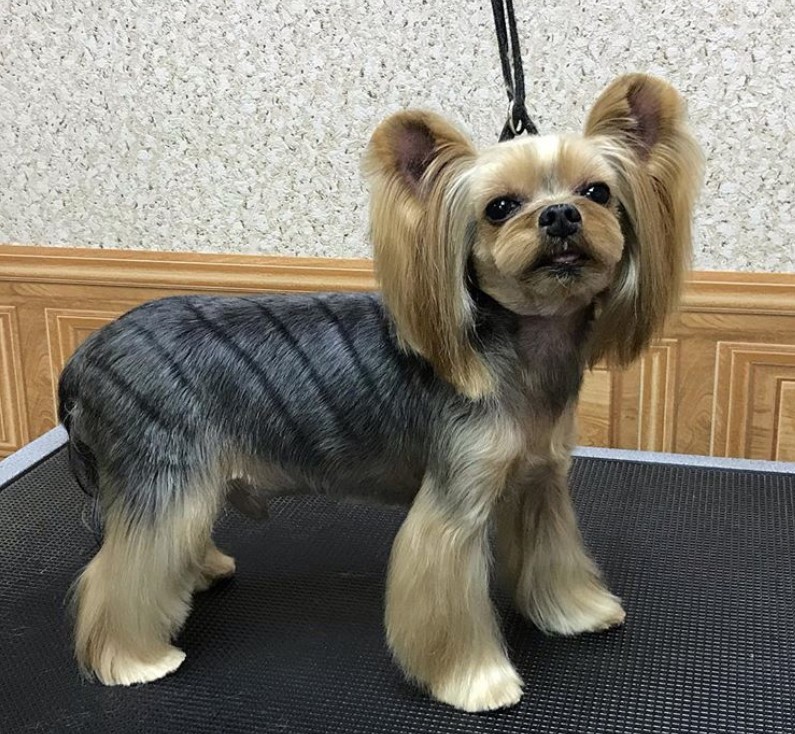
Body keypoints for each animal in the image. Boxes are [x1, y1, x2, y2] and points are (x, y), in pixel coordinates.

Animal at [59, 75, 700, 712]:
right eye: (499, 207)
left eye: (598, 191)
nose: (562, 214)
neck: (522, 346)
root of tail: (85, 357)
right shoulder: (455, 502)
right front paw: (477, 680)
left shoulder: (539, 481)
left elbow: (553, 554)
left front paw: (576, 611)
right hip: (164, 470)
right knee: (120, 573)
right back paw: (131, 657)